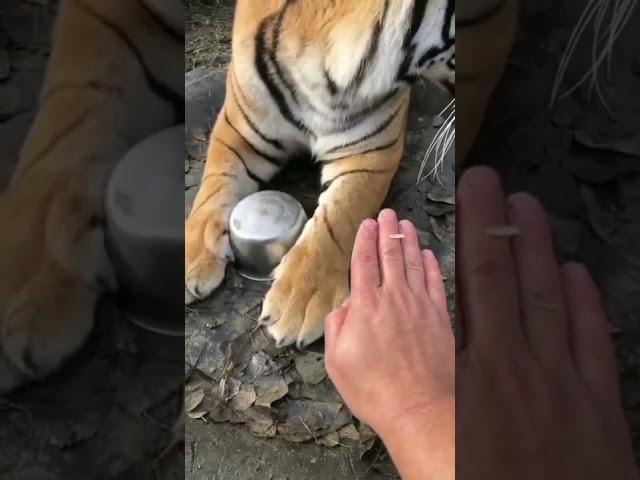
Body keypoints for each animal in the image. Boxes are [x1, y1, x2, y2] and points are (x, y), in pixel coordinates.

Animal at [184, 0, 456, 346]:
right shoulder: (238, 129)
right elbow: (214, 186)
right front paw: (189, 256)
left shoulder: (370, 153)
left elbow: (338, 217)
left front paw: (299, 300)